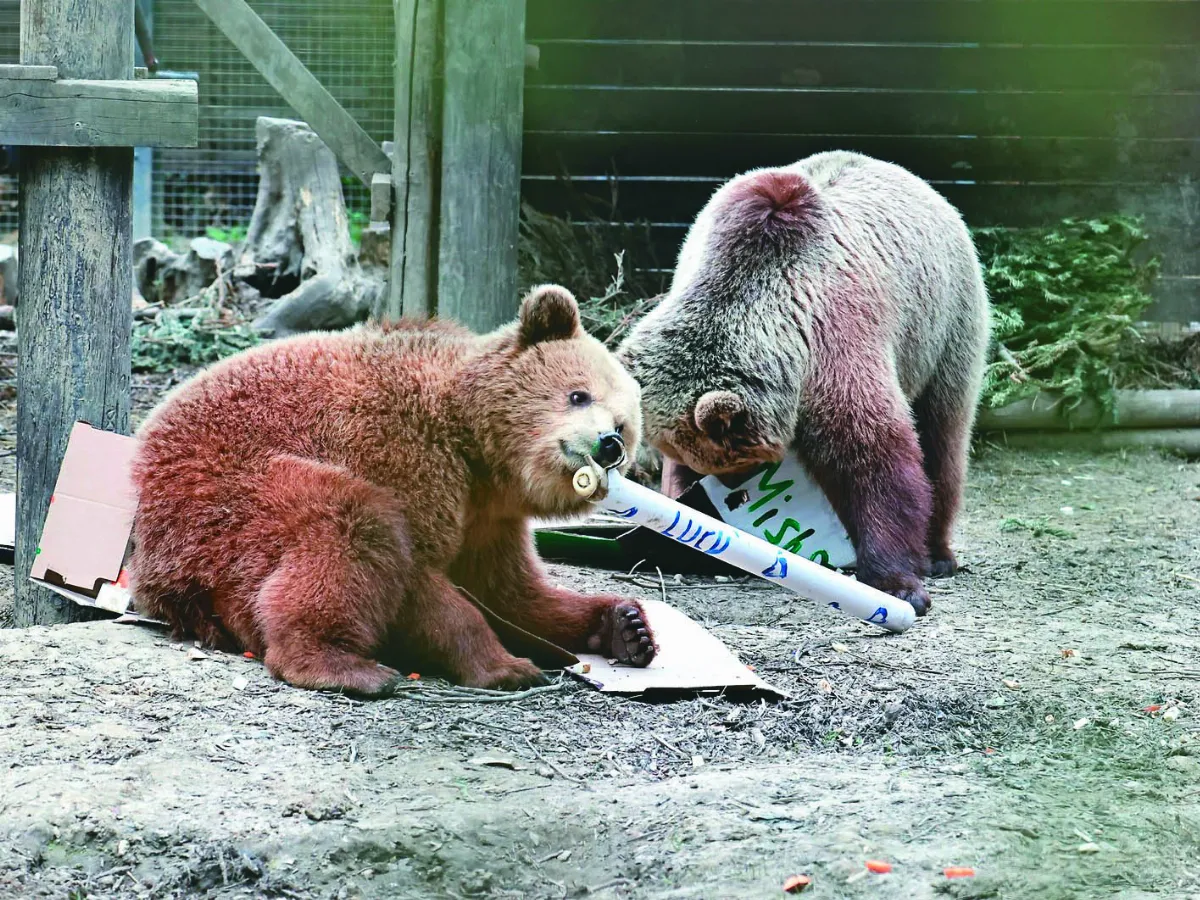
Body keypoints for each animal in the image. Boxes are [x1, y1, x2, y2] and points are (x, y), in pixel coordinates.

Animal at [128, 284, 657, 696]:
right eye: (578, 394)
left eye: (624, 426)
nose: (607, 444)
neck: (477, 451)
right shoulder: (399, 448)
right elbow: (423, 577)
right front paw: (507, 666)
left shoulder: (489, 518)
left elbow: (510, 590)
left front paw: (625, 626)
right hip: (224, 492)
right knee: (351, 525)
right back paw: (344, 665)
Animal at [617, 151, 991, 616]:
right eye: (706, 464)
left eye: (735, 462)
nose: (730, 494)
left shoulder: (834, 338)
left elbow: (875, 459)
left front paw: (897, 583)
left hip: (945, 326)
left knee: (943, 434)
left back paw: (939, 554)